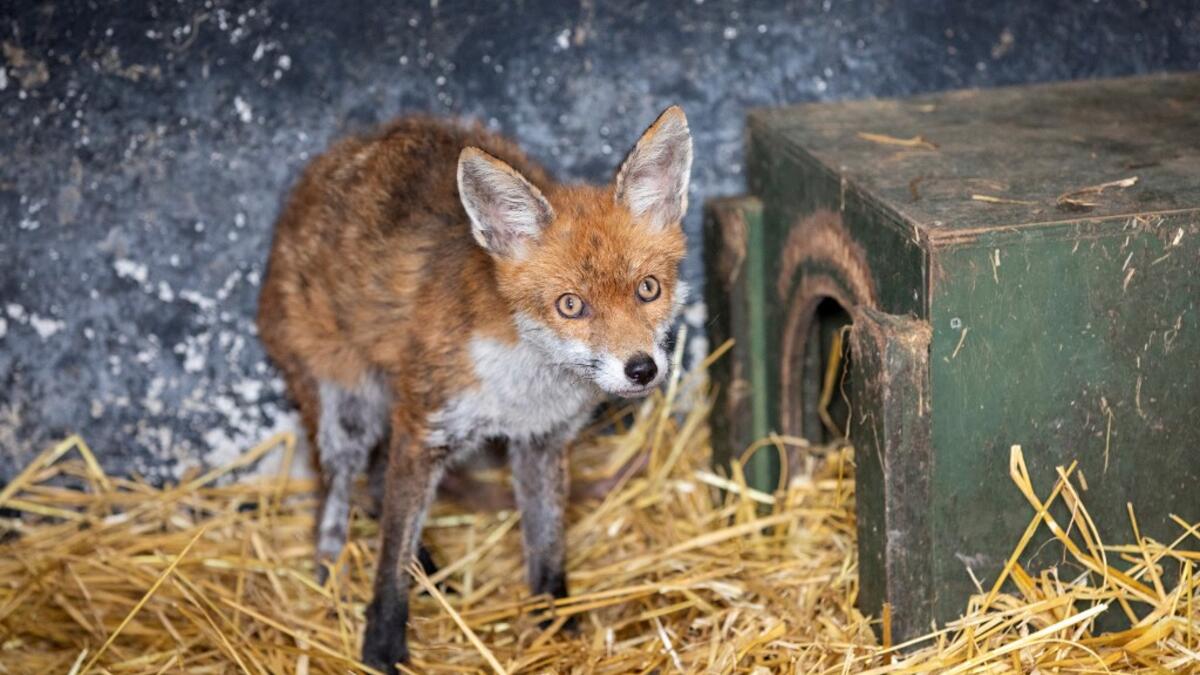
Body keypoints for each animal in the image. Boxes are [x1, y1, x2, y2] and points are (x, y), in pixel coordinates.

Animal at [256, 106, 692, 670]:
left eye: (648, 289)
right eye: (571, 305)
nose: (641, 369)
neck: (521, 388)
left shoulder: (540, 441)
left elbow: (547, 547)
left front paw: (555, 626)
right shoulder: (425, 428)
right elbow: (390, 561)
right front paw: (382, 648)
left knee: (376, 485)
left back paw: (427, 570)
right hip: (347, 415)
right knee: (336, 504)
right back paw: (332, 579)